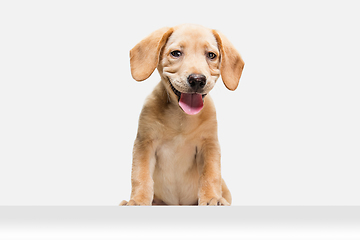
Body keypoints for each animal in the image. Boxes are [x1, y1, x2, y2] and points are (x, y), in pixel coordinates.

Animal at [121, 23, 245, 205]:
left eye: (211, 55)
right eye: (176, 53)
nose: (197, 80)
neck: (181, 118)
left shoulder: (209, 145)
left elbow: (210, 175)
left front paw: (212, 198)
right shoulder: (144, 144)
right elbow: (140, 176)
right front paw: (138, 200)